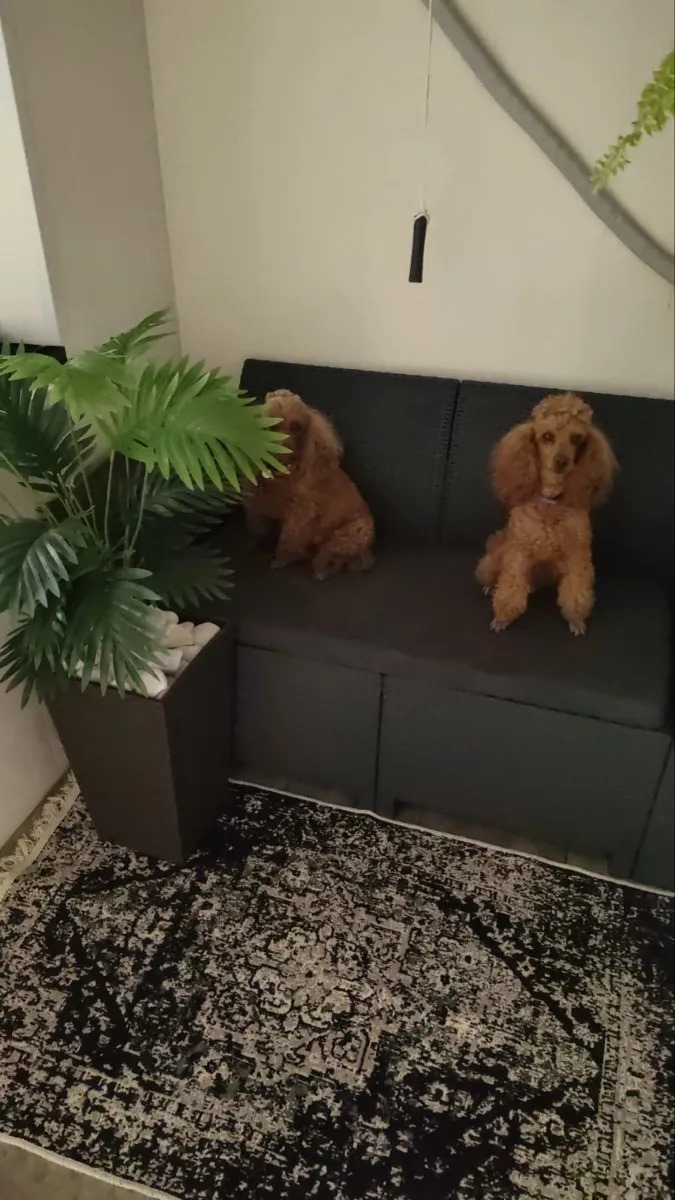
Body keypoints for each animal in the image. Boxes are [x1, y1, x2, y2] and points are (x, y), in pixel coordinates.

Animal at [244, 390, 375, 581]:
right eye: (270, 425)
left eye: (296, 426)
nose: (280, 450)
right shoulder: (260, 503)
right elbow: (258, 526)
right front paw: (254, 543)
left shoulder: (299, 514)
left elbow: (288, 539)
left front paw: (281, 559)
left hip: (350, 534)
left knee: (332, 554)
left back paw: (322, 569)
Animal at [476, 392, 617, 635]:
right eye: (547, 436)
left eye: (577, 438)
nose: (562, 461)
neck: (551, 503)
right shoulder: (519, 553)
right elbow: (510, 589)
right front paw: (502, 618)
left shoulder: (577, 556)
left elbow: (576, 592)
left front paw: (576, 620)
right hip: (498, 554)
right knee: (491, 572)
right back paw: (488, 586)